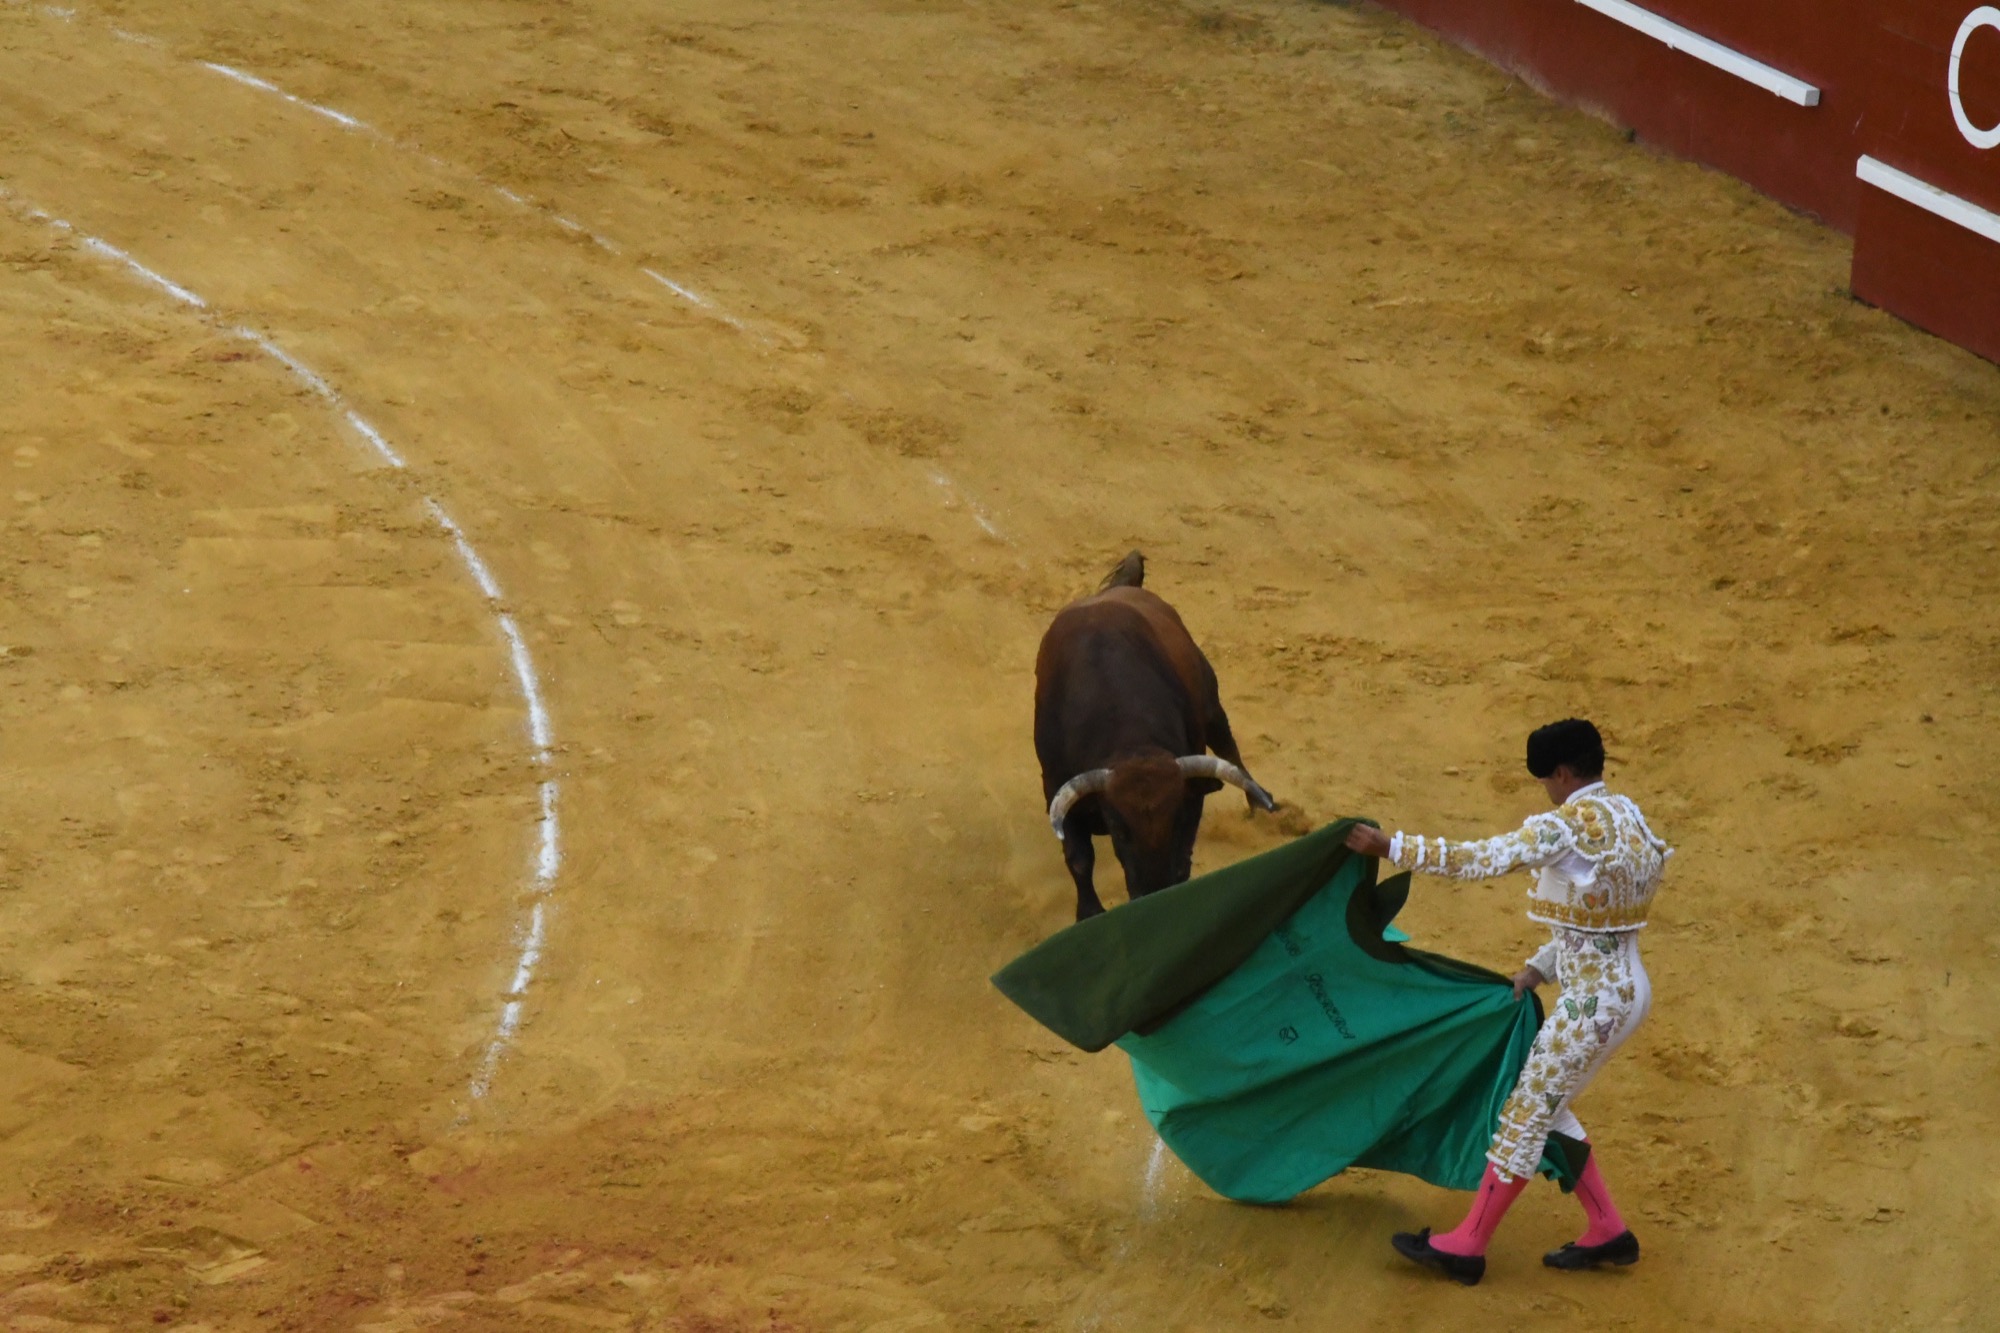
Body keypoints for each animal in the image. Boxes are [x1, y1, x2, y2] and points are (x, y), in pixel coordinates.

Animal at [1034, 551, 1277, 920]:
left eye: (1175, 819)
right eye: (1119, 829)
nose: (1151, 890)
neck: (1131, 740)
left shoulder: (1191, 797)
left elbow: (1184, 854)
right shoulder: (1057, 790)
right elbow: (1079, 860)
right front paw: (1089, 912)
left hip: (1211, 703)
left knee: (1228, 748)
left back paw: (1259, 805)